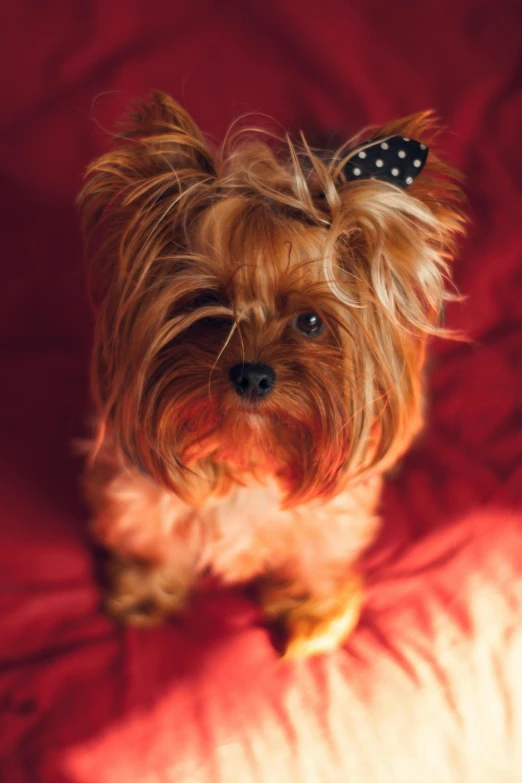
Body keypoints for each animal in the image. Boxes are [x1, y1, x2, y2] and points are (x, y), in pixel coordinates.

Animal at [78, 90, 464, 656]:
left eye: (310, 321)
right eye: (209, 307)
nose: (253, 376)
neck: (249, 450)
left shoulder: (329, 517)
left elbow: (314, 558)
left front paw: (313, 611)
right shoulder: (136, 495)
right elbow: (154, 541)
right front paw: (146, 591)